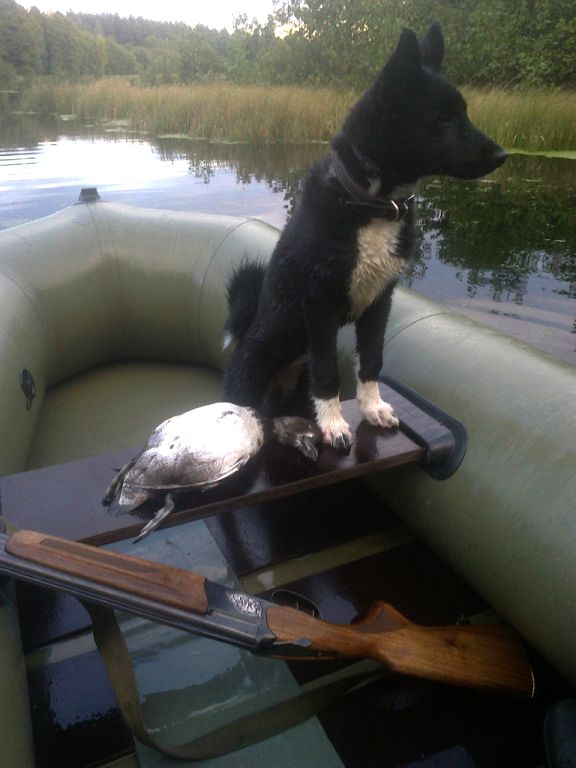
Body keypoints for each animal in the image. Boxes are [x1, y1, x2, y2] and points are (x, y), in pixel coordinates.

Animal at [222, 22, 506, 449]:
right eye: (442, 120)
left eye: (464, 113)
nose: (503, 155)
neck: (374, 204)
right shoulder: (319, 307)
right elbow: (328, 372)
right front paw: (334, 424)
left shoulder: (379, 301)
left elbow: (371, 360)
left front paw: (373, 409)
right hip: (256, 367)